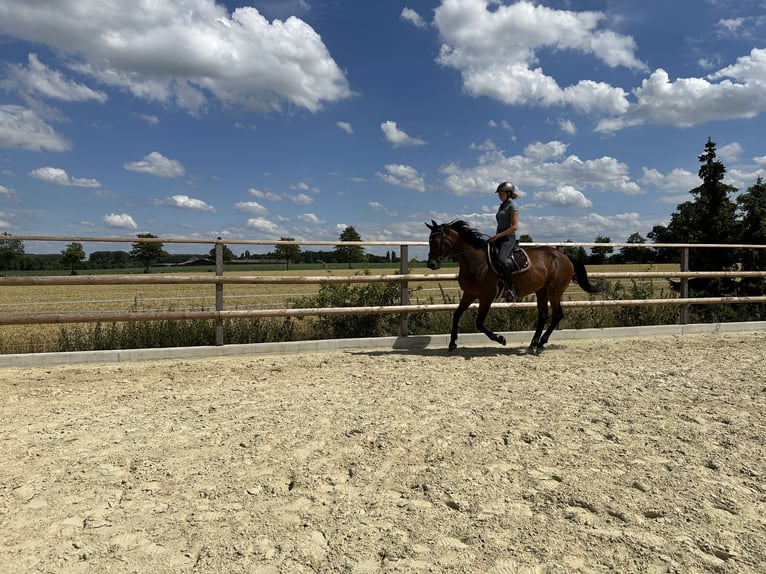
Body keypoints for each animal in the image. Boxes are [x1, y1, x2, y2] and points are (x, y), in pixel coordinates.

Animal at [426, 220, 608, 356]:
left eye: (436, 241)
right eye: (429, 241)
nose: (431, 264)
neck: (476, 261)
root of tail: (564, 256)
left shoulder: (486, 296)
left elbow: (479, 322)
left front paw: (501, 339)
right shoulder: (469, 294)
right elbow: (456, 315)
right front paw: (452, 344)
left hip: (554, 290)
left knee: (557, 315)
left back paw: (540, 343)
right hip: (541, 291)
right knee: (543, 315)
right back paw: (533, 344)